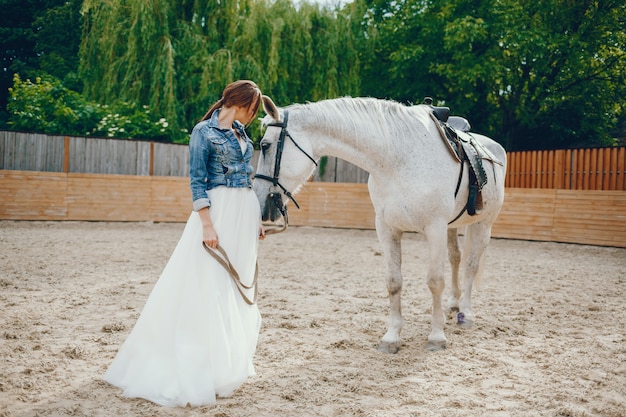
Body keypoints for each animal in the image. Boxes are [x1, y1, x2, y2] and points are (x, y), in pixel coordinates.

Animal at [254, 96, 502, 352]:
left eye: (265, 145)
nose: (260, 200)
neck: (398, 159)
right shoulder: (387, 228)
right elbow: (394, 282)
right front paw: (392, 337)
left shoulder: (435, 228)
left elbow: (435, 282)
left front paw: (436, 336)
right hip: (452, 227)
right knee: (456, 258)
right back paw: (453, 303)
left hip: (483, 224)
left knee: (471, 265)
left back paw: (466, 313)